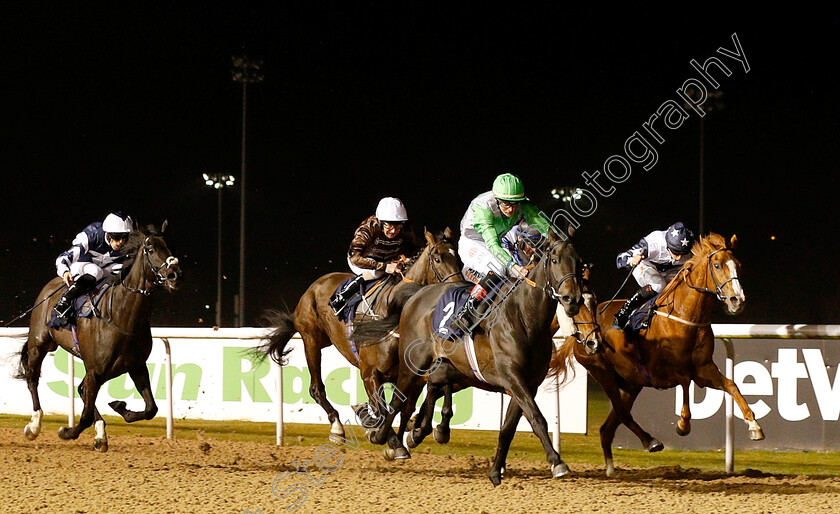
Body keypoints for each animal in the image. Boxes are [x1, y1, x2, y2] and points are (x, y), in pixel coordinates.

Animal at [13, 222, 180, 450]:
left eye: (168, 247)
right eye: (151, 249)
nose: (174, 274)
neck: (121, 318)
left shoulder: (135, 366)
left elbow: (151, 409)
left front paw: (119, 406)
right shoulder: (96, 369)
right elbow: (83, 416)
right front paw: (67, 431)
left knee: (82, 389)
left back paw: (100, 433)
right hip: (39, 344)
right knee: (32, 378)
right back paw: (34, 425)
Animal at [256, 226, 460, 442]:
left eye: (457, 258)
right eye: (437, 258)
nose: (457, 288)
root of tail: (313, 287)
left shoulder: (414, 375)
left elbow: (411, 404)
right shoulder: (369, 373)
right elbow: (383, 410)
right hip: (311, 339)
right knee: (316, 388)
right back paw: (337, 426)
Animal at [354, 230, 584, 482]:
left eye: (579, 262)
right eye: (554, 260)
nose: (573, 299)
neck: (524, 316)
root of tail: (418, 294)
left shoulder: (526, 384)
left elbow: (508, 427)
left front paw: (495, 470)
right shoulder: (513, 377)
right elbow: (537, 417)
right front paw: (557, 462)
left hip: (447, 365)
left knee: (430, 386)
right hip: (413, 364)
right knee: (398, 401)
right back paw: (385, 439)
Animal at [556, 232, 756, 476]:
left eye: (738, 265)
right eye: (717, 265)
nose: (737, 300)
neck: (684, 316)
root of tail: (579, 333)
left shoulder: (704, 369)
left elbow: (731, 385)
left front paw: (754, 426)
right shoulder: (665, 372)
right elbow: (685, 383)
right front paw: (683, 425)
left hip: (631, 383)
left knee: (607, 427)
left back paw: (612, 469)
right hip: (602, 373)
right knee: (622, 414)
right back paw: (650, 442)